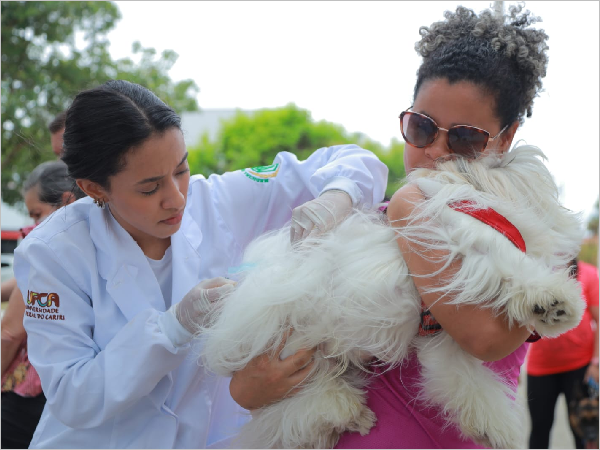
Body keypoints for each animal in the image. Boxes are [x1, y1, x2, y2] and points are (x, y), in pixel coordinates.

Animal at [199, 146, 584, 448]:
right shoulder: (470, 242)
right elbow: (515, 265)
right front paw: (556, 304)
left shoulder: (442, 340)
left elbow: (470, 385)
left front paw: (496, 431)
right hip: (292, 359)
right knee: (295, 409)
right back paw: (348, 411)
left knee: (295, 413)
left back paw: (351, 419)